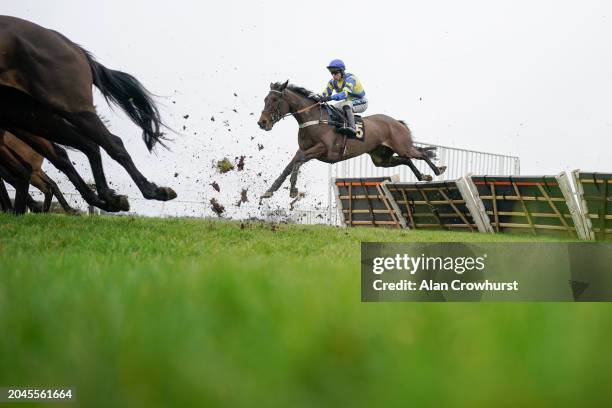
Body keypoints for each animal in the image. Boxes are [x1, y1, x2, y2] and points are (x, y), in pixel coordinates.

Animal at [0, 15, 176, 214]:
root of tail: (73, 46)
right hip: (24, 112)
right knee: (80, 149)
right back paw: (106, 199)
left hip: (68, 104)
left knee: (110, 144)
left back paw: (150, 191)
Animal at [256, 80, 448, 198]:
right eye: (265, 99)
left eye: (275, 99)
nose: (262, 122)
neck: (313, 119)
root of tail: (396, 122)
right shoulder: (302, 149)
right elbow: (288, 167)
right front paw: (269, 191)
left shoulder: (325, 150)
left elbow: (298, 162)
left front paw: (293, 190)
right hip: (381, 159)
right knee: (407, 160)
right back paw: (423, 176)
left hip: (401, 146)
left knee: (421, 153)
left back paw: (437, 170)